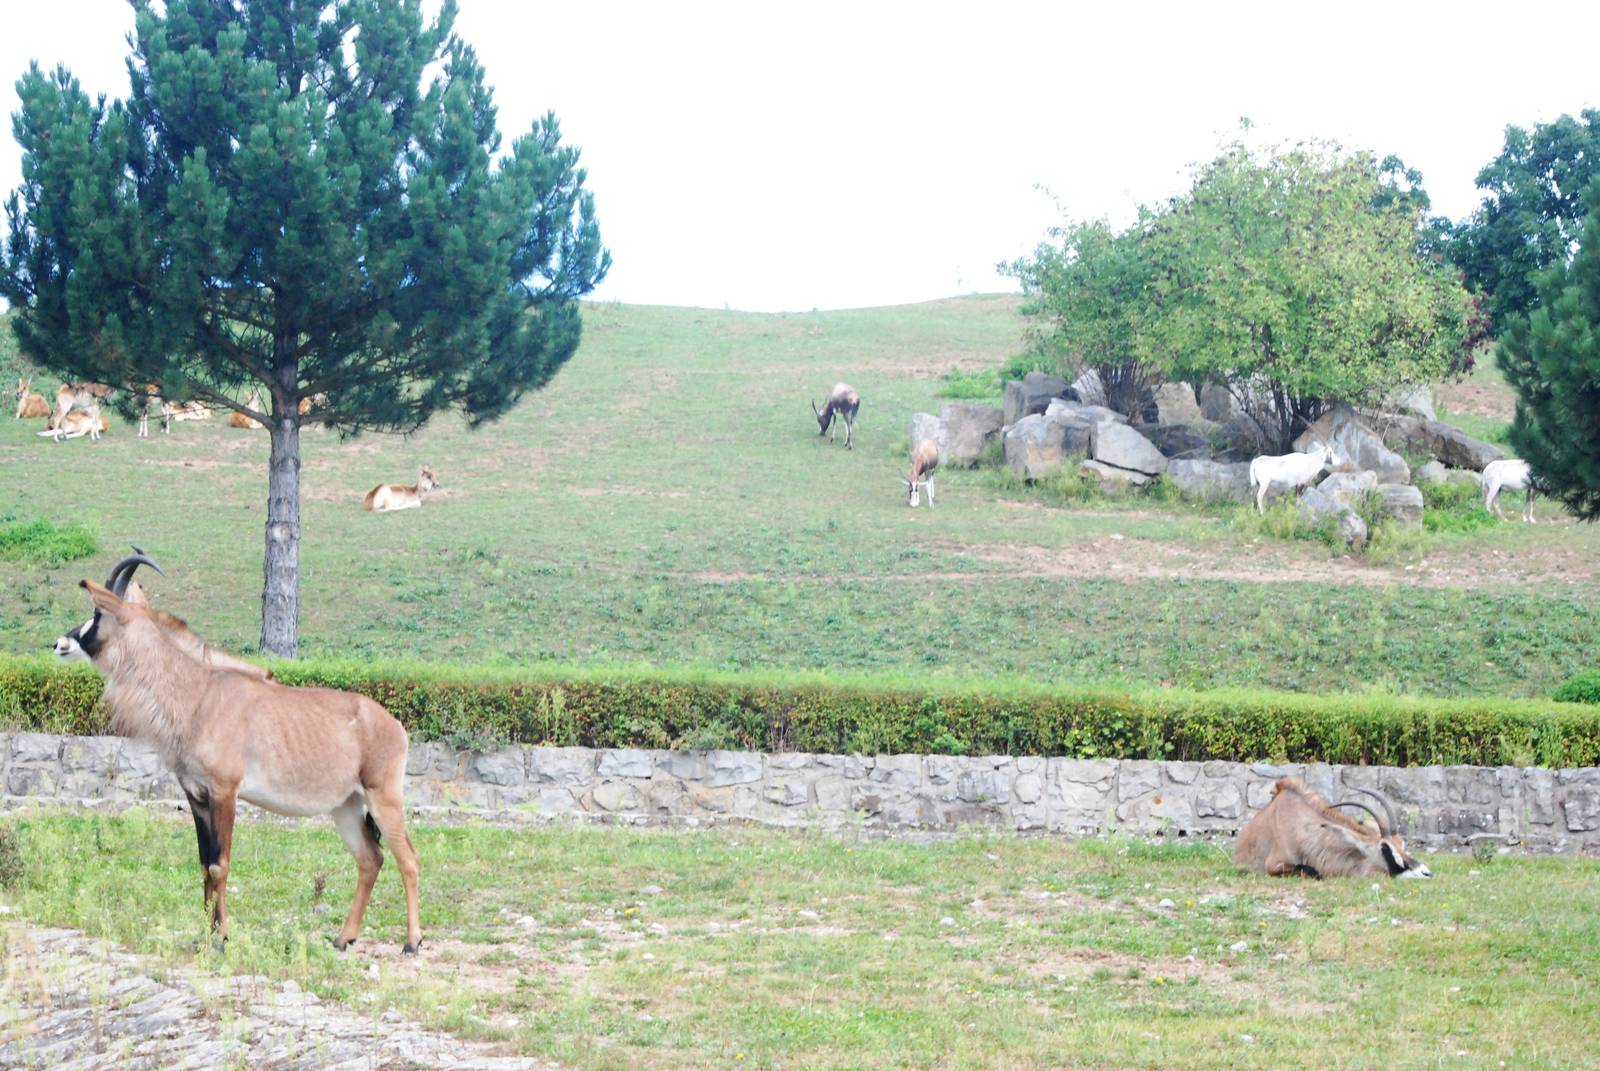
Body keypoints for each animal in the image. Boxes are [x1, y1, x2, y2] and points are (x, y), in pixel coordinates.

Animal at [57, 552, 423, 952]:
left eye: (97, 613)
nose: (61, 643)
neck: (197, 695)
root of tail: (393, 724)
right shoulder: (196, 795)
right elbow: (204, 863)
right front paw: (204, 935)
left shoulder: (225, 792)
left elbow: (221, 863)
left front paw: (222, 937)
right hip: (346, 806)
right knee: (371, 859)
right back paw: (344, 937)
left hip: (382, 796)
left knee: (408, 857)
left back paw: (412, 941)